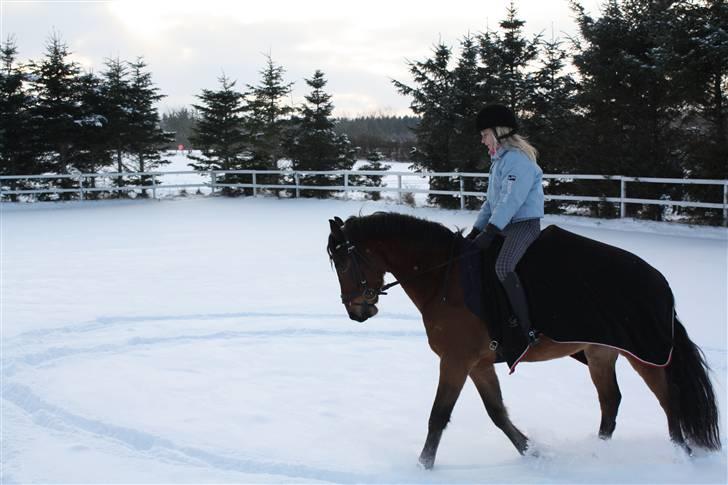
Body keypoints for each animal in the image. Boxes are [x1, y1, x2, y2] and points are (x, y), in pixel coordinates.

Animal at [328, 213, 720, 468]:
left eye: (344, 263)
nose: (356, 311)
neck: (444, 278)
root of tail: (659, 282)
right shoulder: (478, 364)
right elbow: (497, 413)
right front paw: (533, 452)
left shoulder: (455, 361)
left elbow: (438, 416)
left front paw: (423, 467)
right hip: (601, 354)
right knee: (611, 402)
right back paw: (601, 453)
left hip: (644, 355)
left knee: (669, 401)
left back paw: (680, 456)